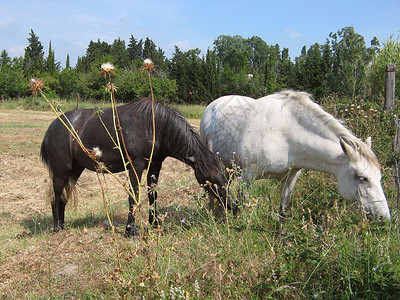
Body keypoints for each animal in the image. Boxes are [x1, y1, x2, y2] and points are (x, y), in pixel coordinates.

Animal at [40, 98, 236, 237]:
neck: (154, 126)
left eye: (223, 176)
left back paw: (63, 225)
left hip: (75, 171)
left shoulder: (155, 165)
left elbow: (152, 195)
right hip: (61, 171)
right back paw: (57, 227)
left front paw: (154, 224)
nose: (233, 206)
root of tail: (50, 129)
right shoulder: (136, 165)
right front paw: (130, 230)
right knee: (56, 196)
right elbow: (133, 196)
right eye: (208, 179)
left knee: (63, 196)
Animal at [200, 90, 390, 219]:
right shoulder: (247, 175)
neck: (285, 134)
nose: (384, 217)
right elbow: (243, 206)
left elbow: (283, 210)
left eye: (379, 177)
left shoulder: (291, 176)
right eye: (362, 178)